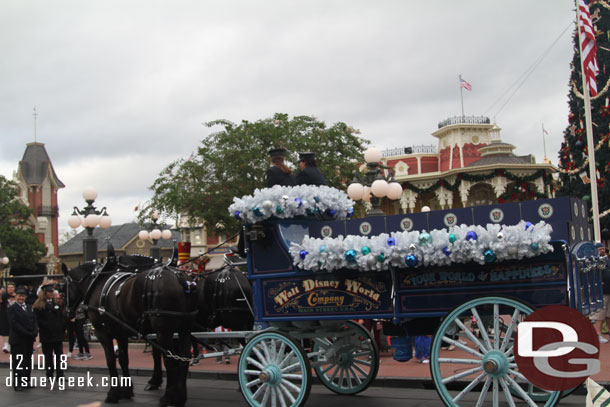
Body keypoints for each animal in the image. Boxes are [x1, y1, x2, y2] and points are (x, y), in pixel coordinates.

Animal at [62, 252, 196, 407]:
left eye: (63, 287)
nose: (67, 314)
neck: (98, 283)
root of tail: (181, 279)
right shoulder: (121, 332)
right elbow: (123, 359)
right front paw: (126, 391)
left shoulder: (103, 332)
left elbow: (110, 360)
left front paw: (113, 393)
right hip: (184, 328)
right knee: (184, 357)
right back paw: (180, 397)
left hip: (164, 331)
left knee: (170, 359)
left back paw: (168, 397)